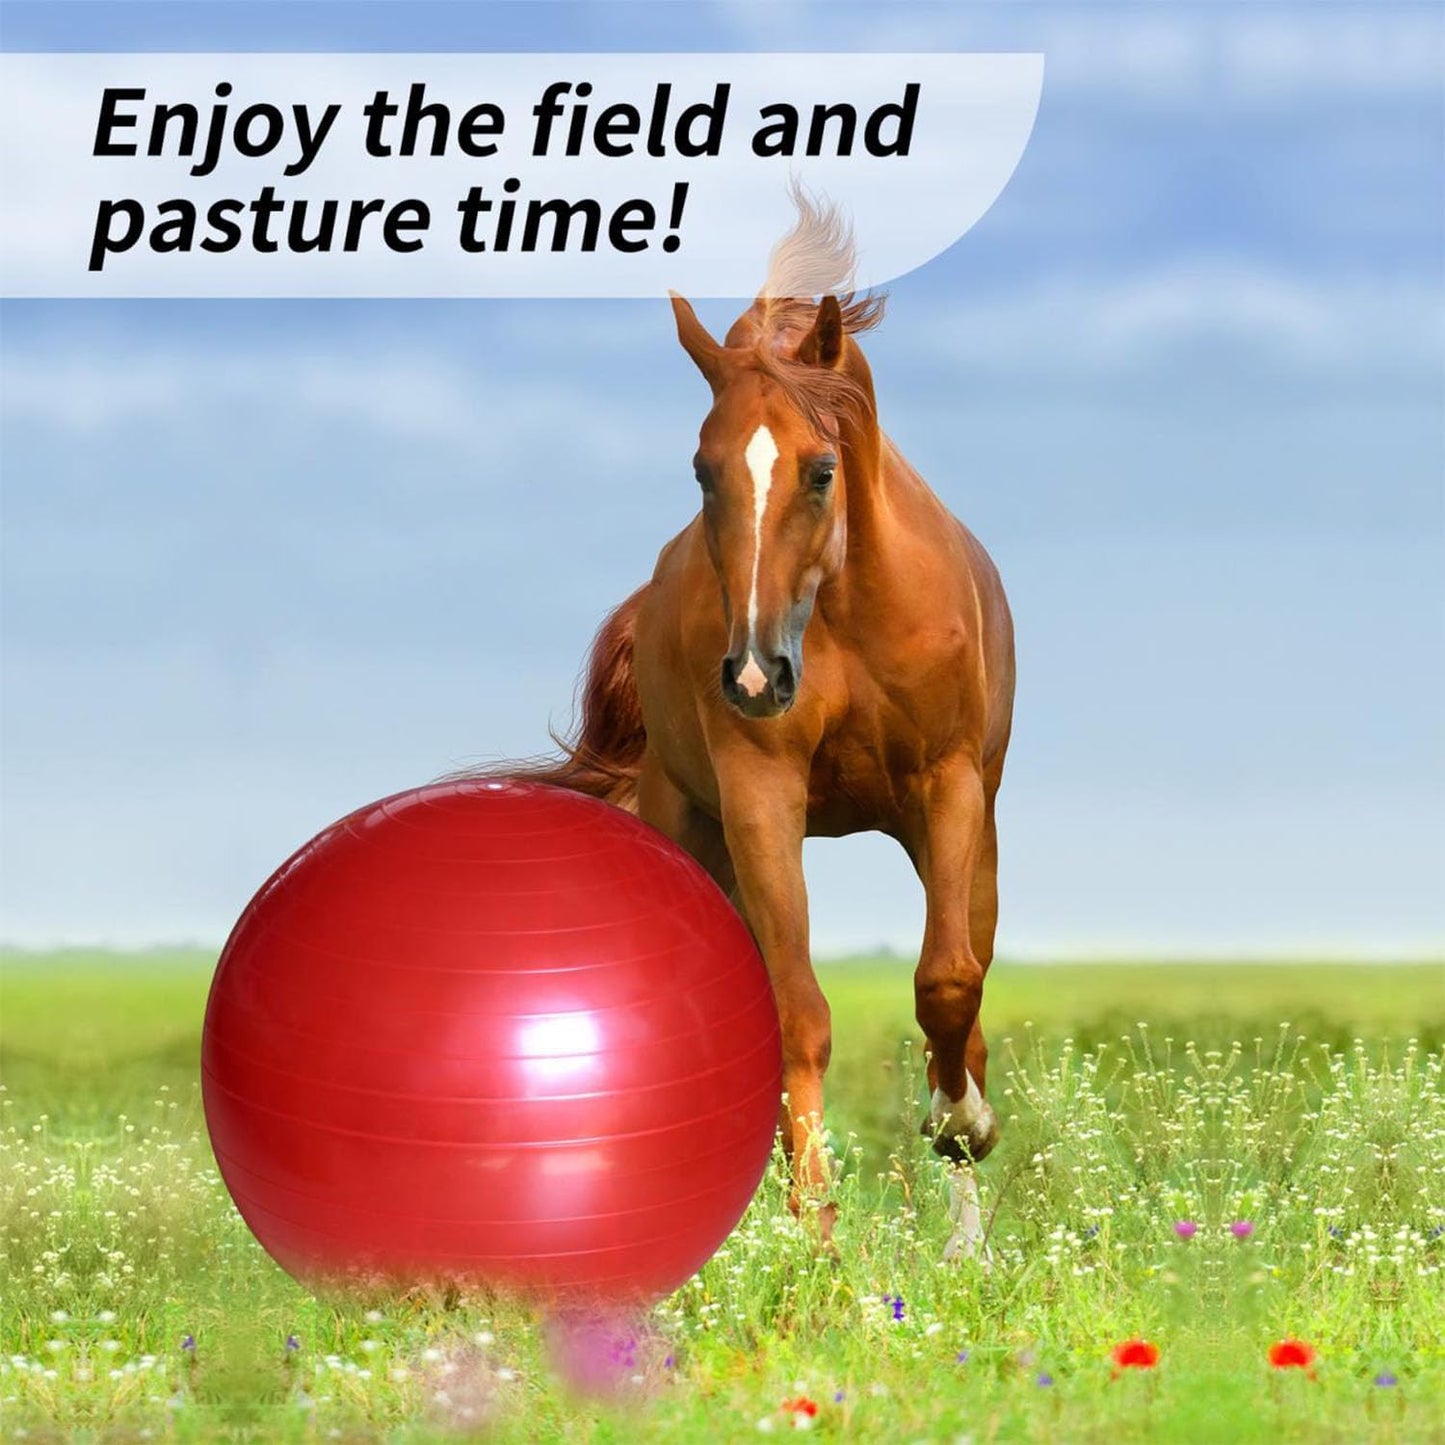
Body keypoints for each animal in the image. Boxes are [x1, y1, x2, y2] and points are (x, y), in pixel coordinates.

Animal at [501, 196, 1015, 1255]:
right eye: (703, 473)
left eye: (820, 471)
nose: (750, 674)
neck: (847, 608)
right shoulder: (759, 796)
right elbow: (795, 1014)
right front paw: (812, 1230)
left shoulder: (945, 788)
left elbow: (947, 982)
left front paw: (960, 1136)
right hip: (698, 831)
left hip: (966, 831)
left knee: (967, 990)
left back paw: (964, 1216)